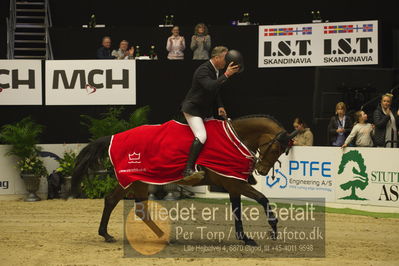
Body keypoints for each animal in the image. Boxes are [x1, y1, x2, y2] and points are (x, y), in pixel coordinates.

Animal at [70, 115, 298, 246]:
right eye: (276, 149)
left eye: (281, 152)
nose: (261, 170)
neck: (235, 139)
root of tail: (114, 136)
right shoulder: (235, 183)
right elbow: (262, 199)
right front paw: (273, 229)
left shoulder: (233, 184)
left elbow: (237, 210)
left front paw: (246, 238)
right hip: (136, 179)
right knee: (123, 204)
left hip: (136, 181)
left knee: (123, 204)